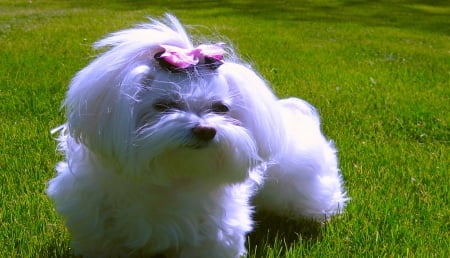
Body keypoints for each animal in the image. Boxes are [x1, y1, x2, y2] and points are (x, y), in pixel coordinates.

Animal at [46, 14, 348, 258]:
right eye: (164, 105)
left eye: (220, 108)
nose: (205, 130)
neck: (169, 178)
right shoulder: (99, 229)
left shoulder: (213, 235)